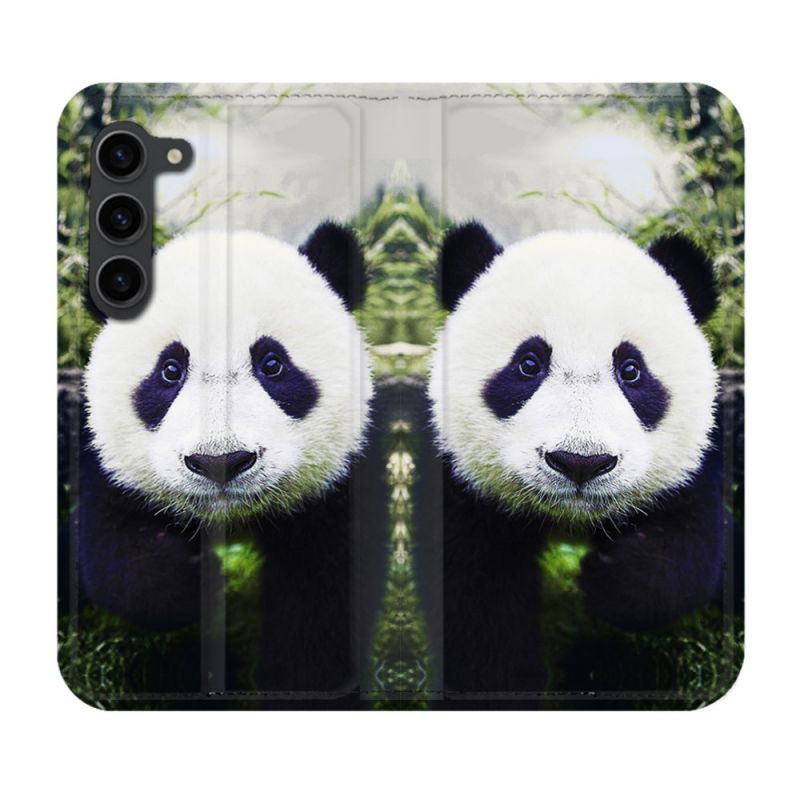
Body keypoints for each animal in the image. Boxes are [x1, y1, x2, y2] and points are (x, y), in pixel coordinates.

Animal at [70, 222, 373, 697]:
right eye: (170, 370)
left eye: (273, 364)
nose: (221, 462)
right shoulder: (111, 470)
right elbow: (116, 555)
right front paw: (195, 580)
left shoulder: (335, 493)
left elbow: (322, 608)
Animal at [428, 222, 724, 697]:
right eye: (528, 364)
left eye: (631, 370)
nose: (580, 462)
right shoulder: (463, 488)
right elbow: (474, 604)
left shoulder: (689, 469)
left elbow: (683, 555)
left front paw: (607, 578)